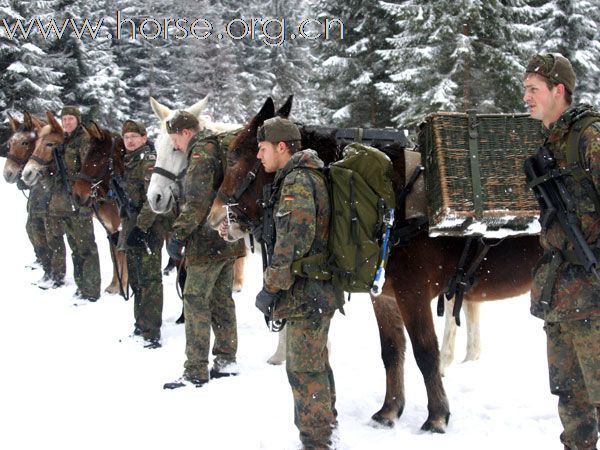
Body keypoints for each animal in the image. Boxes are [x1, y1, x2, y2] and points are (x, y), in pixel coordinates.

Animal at [207, 97, 544, 432]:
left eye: (235, 156)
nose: (214, 219)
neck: (391, 201)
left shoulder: (413, 294)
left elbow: (425, 353)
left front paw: (437, 415)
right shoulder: (384, 296)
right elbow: (392, 352)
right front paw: (390, 410)